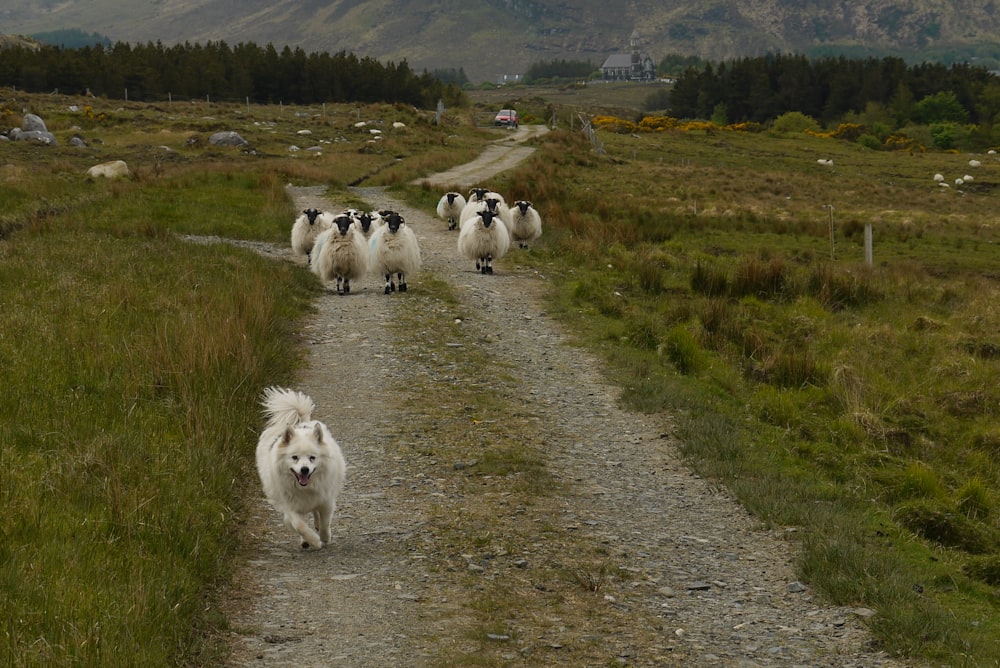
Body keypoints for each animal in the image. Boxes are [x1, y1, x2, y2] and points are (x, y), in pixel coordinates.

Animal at [256, 386, 346, 548]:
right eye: (294, 457)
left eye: (312, 458)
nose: (304, 469)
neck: (305, 488)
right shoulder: (290, 507)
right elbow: (299, 526)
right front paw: (313, 540)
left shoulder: (326, 500)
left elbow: (325, 522)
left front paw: (324, 537)